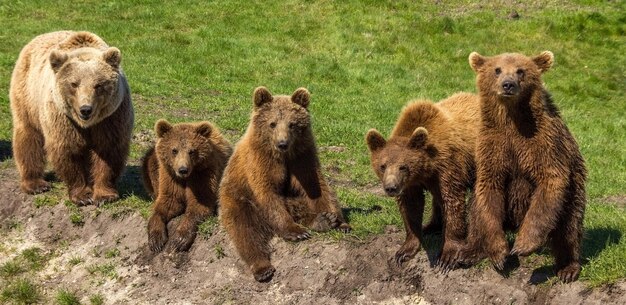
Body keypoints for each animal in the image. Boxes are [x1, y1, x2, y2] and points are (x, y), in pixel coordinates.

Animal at [9, 30, 133, 205]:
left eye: (99, 85)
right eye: (74, 84)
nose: (85, 109)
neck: (87, 124)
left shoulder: (111, 117)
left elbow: (108, 150)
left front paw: (105, 195)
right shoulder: (62, 117)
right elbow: (69, 150)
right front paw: (82, 195)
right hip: (27, 96)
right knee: (28, 136)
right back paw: (35, 183)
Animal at [141, 119, 232, 252]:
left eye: (192, 151)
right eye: (174, 150)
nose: (183, 169)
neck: (185, 178)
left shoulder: (203, 175)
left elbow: (198, 205)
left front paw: (179, 240)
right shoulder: (171, 178)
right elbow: (167, 204)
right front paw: (156, 240)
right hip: (152, 163)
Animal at [217, 86, 348, 282]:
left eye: (292, 124)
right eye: (272, 123)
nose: (282, 143)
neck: (282, 156)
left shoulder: (302, 157)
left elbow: (316, 187)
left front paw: (337, 221)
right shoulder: (261, 161)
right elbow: (268, 192)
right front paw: (295, 231)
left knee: (298, 205)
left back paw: (320, 221)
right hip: (238, 200)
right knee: (245, 231)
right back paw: (262, 268)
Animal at [366, 91, 478, 268]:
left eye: (403, 166)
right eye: (383, 166)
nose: (391, 187)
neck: (426, 167)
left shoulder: (449, 165)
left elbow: (452, 200)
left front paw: (447, 256)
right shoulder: (411, 183)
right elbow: (411, 206)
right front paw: (404, 252)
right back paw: (431, 226)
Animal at [458, 51, 584, 282]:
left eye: (520, 70)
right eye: (497, 69)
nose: (508, 84)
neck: (512, 120)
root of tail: (513, 224)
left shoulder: (544, 142)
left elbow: (550, 180)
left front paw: (523, 245)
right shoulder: (493, 146)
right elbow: (489, 189)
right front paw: (499, 253)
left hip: (573, 193)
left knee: (569, 227)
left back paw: (568, 268)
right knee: (476, 212)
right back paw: (469, 252)